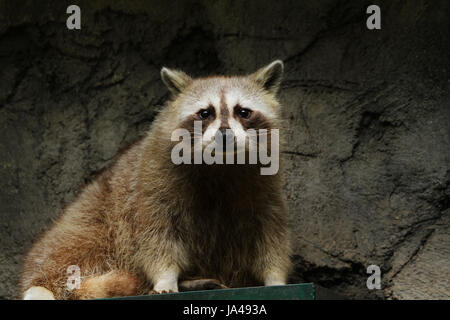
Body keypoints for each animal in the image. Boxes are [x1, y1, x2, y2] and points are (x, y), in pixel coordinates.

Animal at [20, 60, 292, 300]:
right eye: (205, 113)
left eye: (243, 112)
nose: (224, 135)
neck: (221, 163)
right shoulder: (153, 179)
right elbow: (156, 233)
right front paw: (165, 278)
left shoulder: (266, 183)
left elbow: (270, 232)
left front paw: (274, 277)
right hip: (89, 219)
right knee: (77, 245)